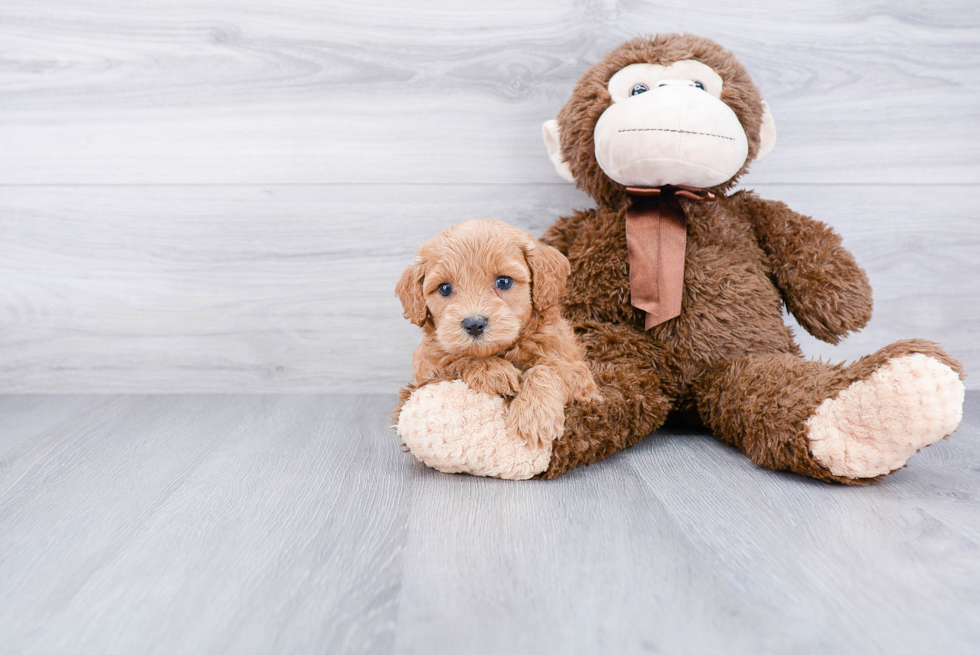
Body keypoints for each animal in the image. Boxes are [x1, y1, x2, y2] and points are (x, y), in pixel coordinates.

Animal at [396, 218, 596, 448]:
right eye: (444, 288)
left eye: (504, 281)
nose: (474, 324)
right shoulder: (428, 371)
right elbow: (456, 360)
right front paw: (493, 370)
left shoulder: (581, 377)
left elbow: (546, 368)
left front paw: (534, 415)